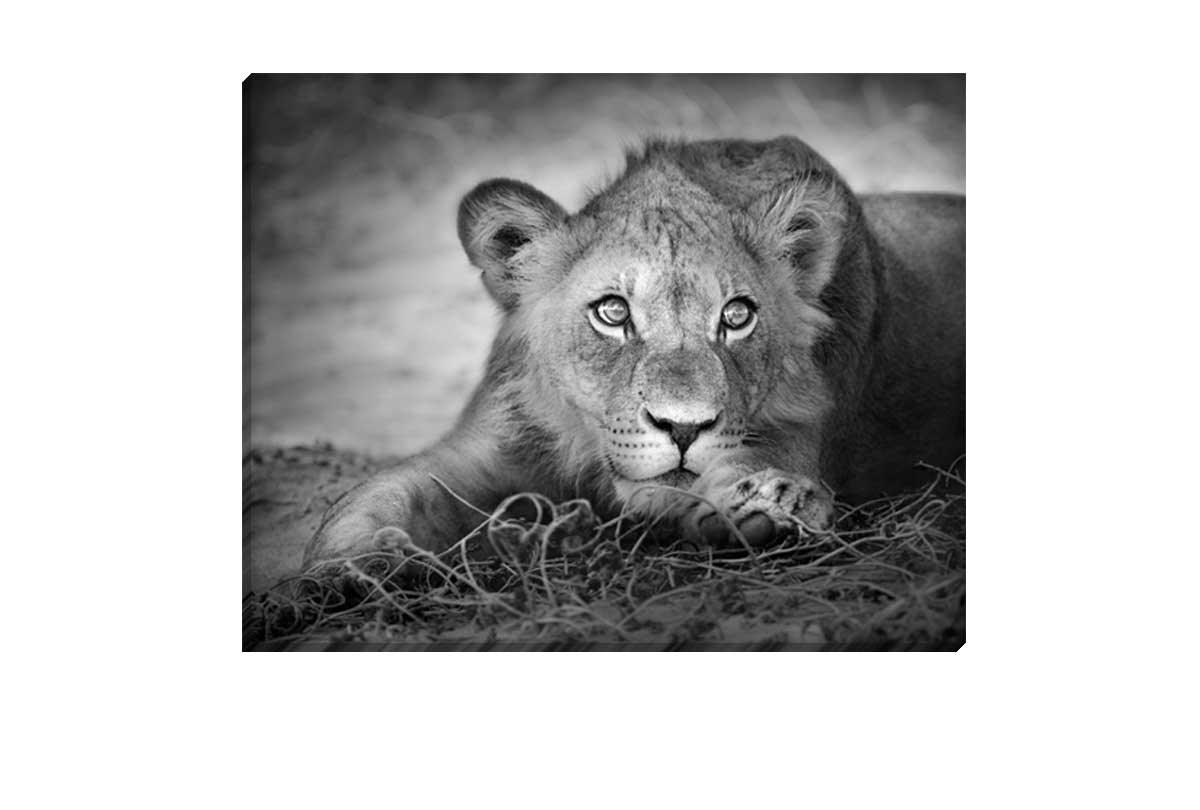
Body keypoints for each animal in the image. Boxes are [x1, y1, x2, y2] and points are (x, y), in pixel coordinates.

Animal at [303, 136, 964, 566]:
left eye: (737, 316)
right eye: (613, 313)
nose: (683, 428)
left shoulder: (797, 431)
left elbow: (758, 466)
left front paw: (770, 507)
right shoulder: (485, 447)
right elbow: (378, 496)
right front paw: (346, 571)